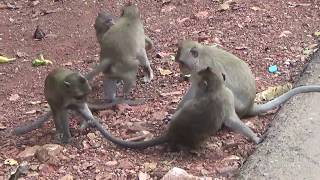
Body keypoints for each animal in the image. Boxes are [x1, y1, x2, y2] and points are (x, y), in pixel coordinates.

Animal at [174, 40, 320, 118]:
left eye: (181, 63)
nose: (180, 69)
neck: (201, 56)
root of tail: (249, 107)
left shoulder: (203, 69)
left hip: (236, 104)